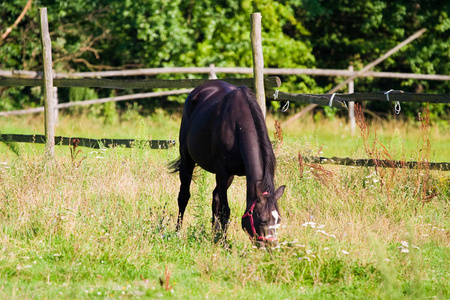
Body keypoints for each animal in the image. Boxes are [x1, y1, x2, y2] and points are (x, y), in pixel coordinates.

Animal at [170, 79, 284, 248]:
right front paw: (224, 244)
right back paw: (177, 232)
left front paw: (218, 239)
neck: (239, 125)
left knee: (215, 198)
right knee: (184, 196)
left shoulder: (229, 175)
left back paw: (213, 235)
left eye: (278, 220)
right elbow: (225, 210)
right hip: (187, 159)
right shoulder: (223, 172)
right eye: (263, 220)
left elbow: (219, 206)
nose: (273, 247)